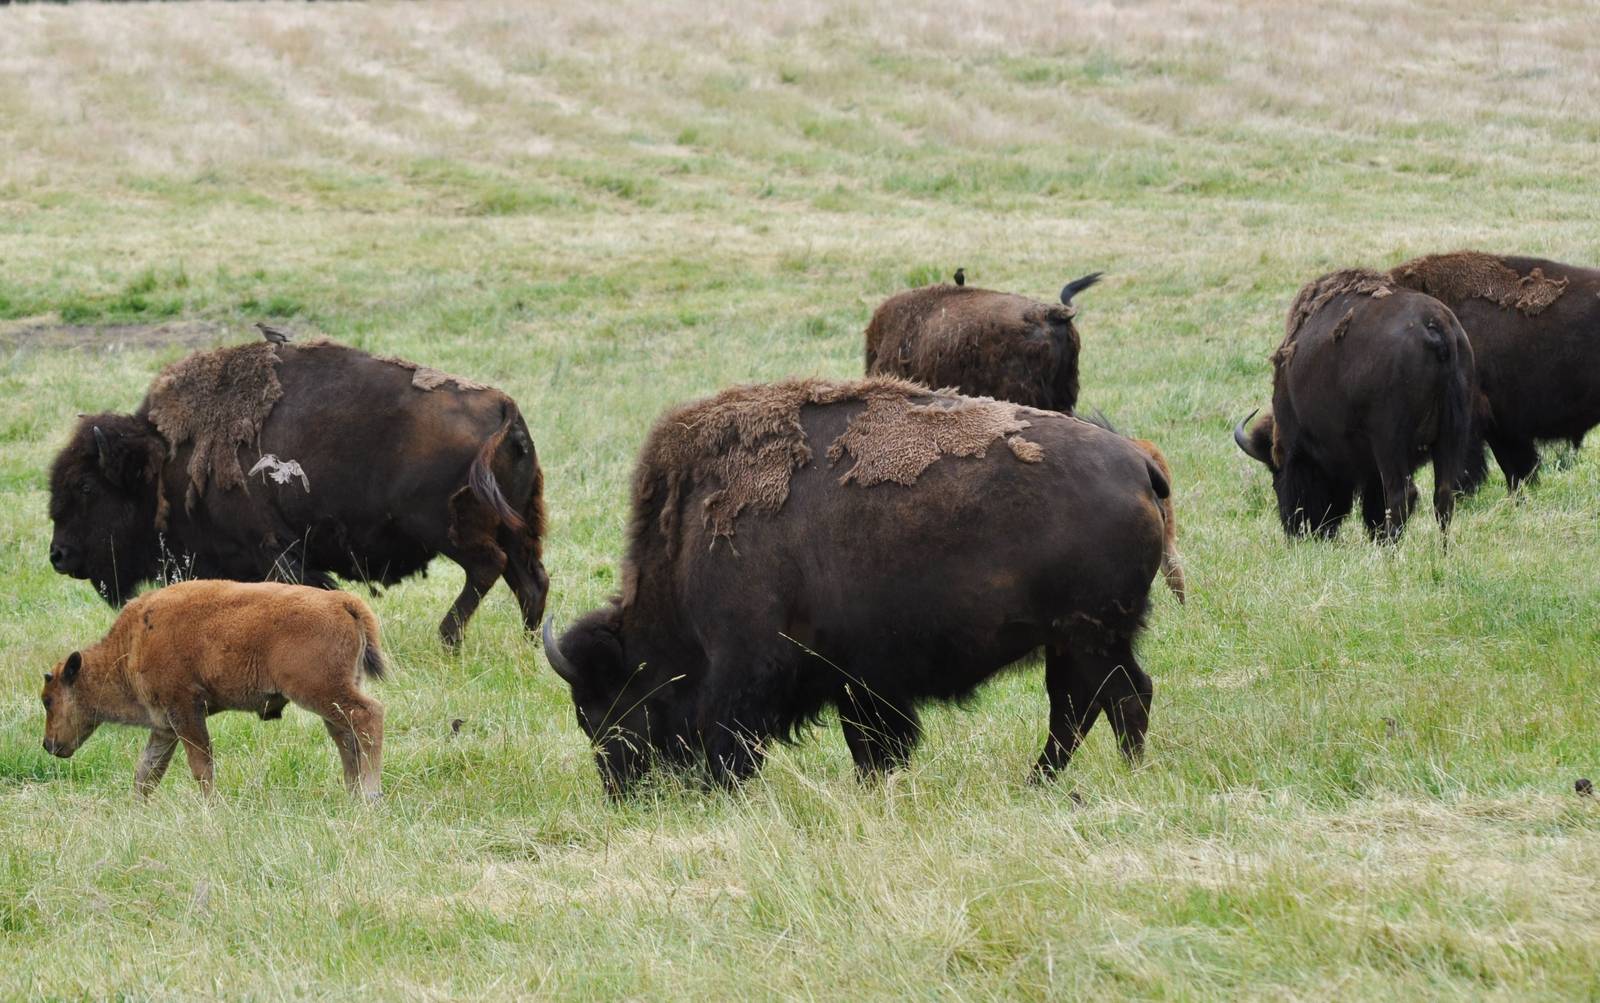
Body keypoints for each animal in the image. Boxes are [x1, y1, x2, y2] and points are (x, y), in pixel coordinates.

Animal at [47, 337, 548, 646]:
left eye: (87, 486)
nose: (59, 555)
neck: (165, 458)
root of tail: (503, 407)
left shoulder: (275, 551)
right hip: (515, 527)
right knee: (530, 580)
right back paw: (526, 643)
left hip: (448, 530)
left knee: (487, 569)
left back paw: (448, 640)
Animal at [543, 377, 1171, 795]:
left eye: (606, 707)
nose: (620, 790)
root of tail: (1137, 461)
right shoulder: (860, 680)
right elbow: (873, 742)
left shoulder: (752, 668)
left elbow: (744, 740)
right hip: (1079, 640)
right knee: (1094, 702)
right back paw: (1057, 780)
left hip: (1089, 636)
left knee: (1107, 699)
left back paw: (1086, 778)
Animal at [1233, 270, 1476, 541]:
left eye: (1277, 474)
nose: (1295, 531)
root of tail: (1435, 324)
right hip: (1451, 435)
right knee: (1443, 497)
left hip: (1389, 444)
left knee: (1401, 495)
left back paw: (1389, 547)